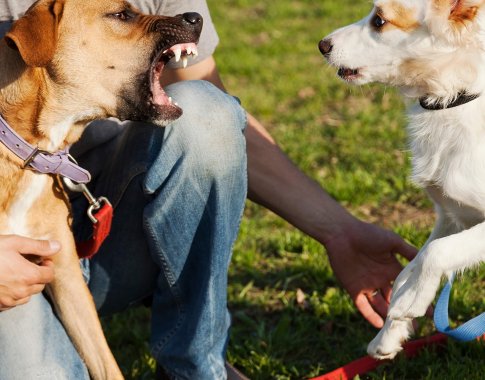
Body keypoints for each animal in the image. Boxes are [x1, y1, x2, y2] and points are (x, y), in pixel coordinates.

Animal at [320, 0, 482, 360]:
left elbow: (436, 253)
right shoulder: (452, 215)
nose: (322, 45)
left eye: (379, 21)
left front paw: (411, 303)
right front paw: (390, 330)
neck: (452, 99)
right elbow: (416, 261)